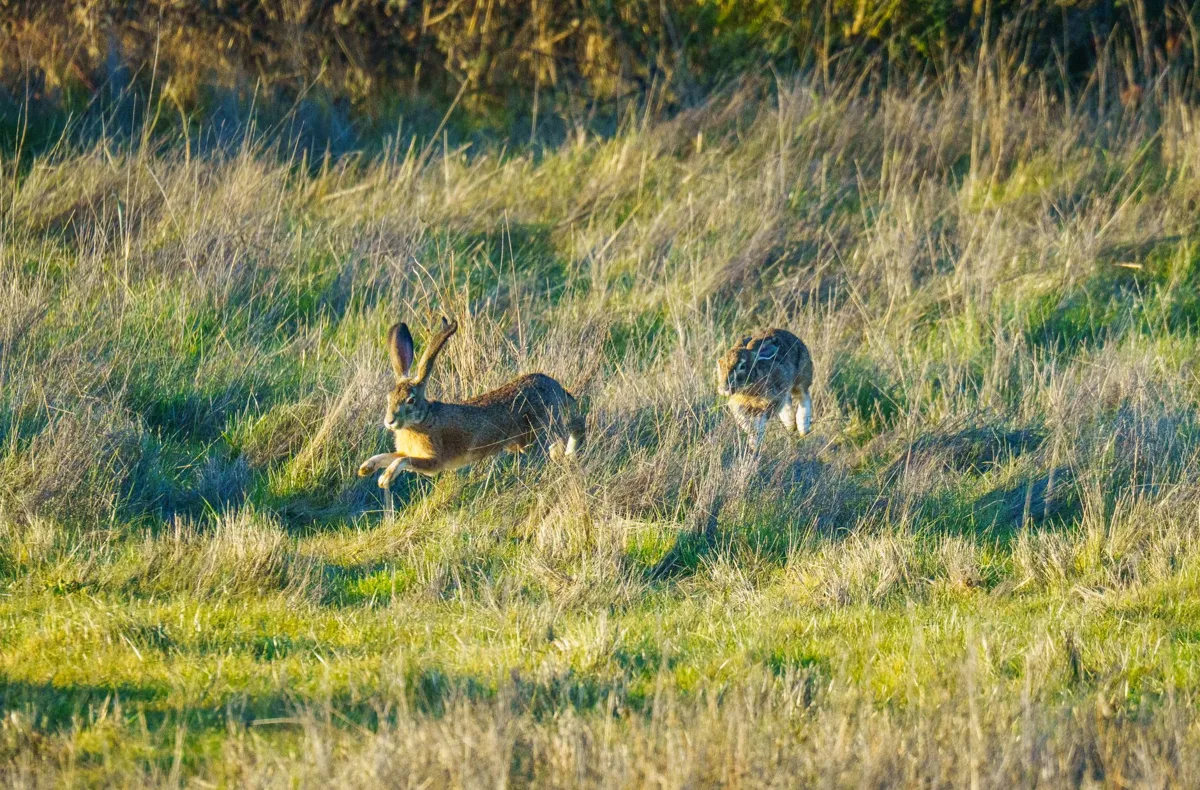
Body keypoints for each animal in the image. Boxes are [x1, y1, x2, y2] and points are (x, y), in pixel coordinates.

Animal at [358, 316, 585, 489]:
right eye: (388, 398)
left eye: (411, 400)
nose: (390, 421)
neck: (423, 419)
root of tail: (556, 387)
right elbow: (390, 456)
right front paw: (366, 468)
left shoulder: (434, 461)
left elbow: (402, 460)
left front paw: (384, 478)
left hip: (545, 426)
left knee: (574, 426)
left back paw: (570, 451)